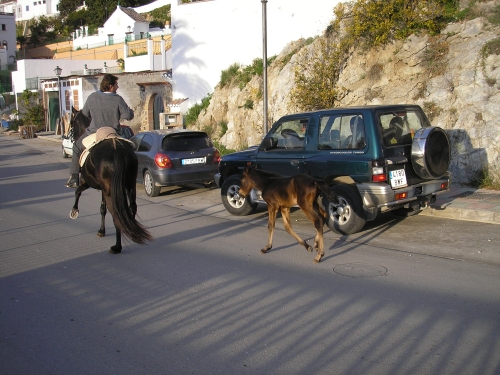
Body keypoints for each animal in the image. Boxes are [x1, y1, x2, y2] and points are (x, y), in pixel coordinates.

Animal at [68, 108, 151, 256]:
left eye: (72, 122)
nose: (69, 136)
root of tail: (117, 148)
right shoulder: (103, 188)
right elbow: (102, 208)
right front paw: (102, 230)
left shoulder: (86, 182)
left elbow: (78, 191)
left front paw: (74, 210)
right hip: (129, 184)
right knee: (131, 207)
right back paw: (132, 232)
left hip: (110, 189)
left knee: (116, 213)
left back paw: (117, 246)